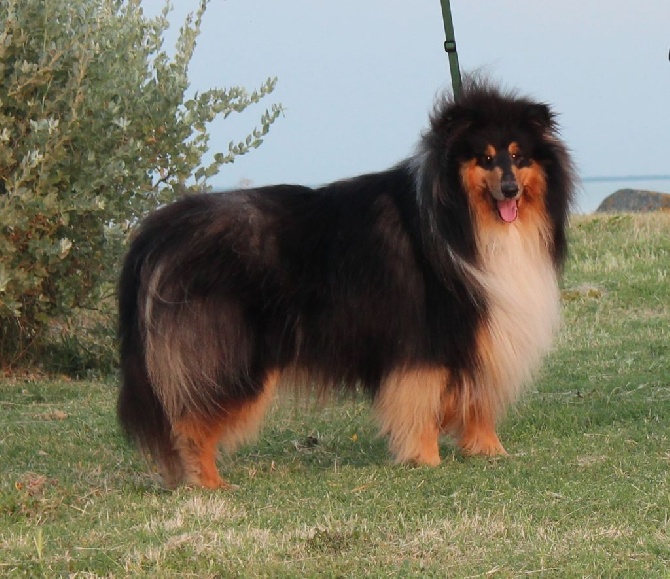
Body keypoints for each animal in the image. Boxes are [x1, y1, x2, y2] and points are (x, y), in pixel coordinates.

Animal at [117, 78, 576, 490]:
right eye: (485, 158)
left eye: (518, 156)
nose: (510, 189)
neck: (463, 220)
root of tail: (162, 229)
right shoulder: (427, 337)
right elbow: (422, 400)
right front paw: (425, 458)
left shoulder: (477, 330)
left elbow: (478, 396)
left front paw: (489, 450)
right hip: (233, 357)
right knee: (192, 421)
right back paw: (210, 483)